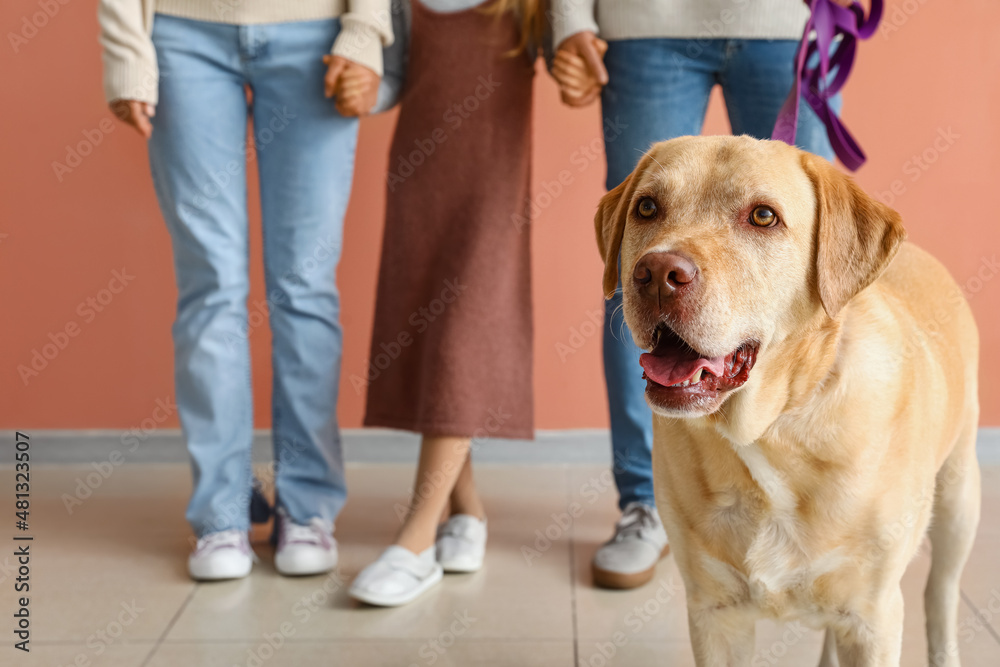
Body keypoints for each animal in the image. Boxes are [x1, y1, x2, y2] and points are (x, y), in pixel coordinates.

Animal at [596, 137, 980, 667]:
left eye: (763, 216)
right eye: (647, 207)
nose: (655, 273)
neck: (770, 429)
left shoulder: (873, 617)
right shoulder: (715, 614)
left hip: (960, 502)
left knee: (940, 596)